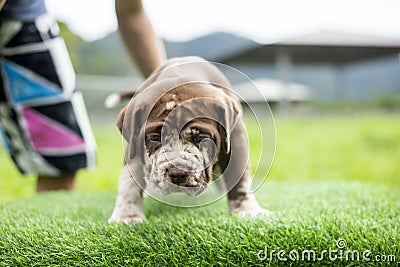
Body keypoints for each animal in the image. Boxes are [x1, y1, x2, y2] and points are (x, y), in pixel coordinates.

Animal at [108, 56, 268, 224]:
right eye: (154, 137)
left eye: (201, 138)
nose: (178, 173)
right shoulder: (133, 145)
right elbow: (128, 180)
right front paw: (127, 215)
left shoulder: (235, 139)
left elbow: (240, 177)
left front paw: (247, 210)